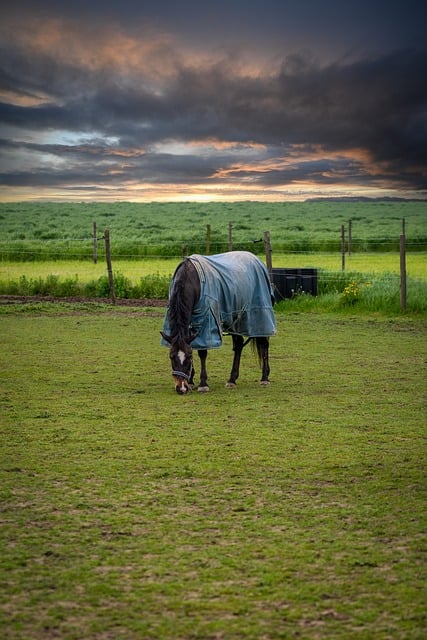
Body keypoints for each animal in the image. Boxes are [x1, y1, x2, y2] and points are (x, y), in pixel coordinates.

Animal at [160, 251, 278, 392]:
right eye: (171, 356)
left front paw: (203, 384)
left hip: (260, 315)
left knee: (264, 343)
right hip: (235, 320)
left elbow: (202, 352)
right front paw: (192, 381)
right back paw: (232, 379)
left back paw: (264, 378)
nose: (181, 388)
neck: (191, 280)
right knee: (239, 345)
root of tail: (257, 261)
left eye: (188, 356)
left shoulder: (206, 321)